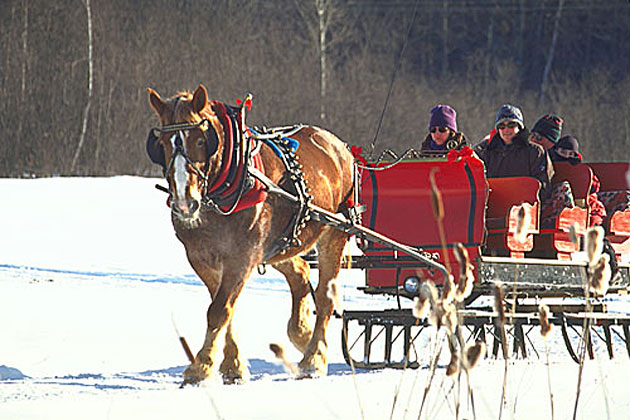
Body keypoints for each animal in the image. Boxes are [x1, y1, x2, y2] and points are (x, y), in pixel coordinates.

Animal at [148, 83, 356, 386]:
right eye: (162, 144)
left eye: (201, 141)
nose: (185, 203)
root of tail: (339, 147)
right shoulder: (201, 258)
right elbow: (225, 309)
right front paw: (232, 365)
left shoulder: (241, 257)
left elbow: (219, 310)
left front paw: (200, 368)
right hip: (280, 244)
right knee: (300, 273)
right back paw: (301, 333)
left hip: (334, 234)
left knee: (325, 298)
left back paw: (314, 359)